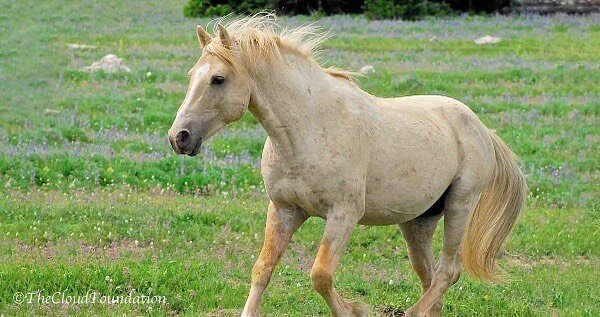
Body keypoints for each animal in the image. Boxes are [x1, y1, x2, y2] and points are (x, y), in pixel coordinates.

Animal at [168, 13, 524, 314]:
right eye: (191, 75)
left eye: (218, 79)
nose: (179, 137)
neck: (307, 131)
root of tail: (481, 128)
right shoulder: (284, 210)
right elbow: (262, 269)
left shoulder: (344, 214)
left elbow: (321, 275)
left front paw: (355, 310)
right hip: (418, 221)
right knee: (430, 276)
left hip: (460, 204)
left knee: (449, 271)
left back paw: (413, 311)